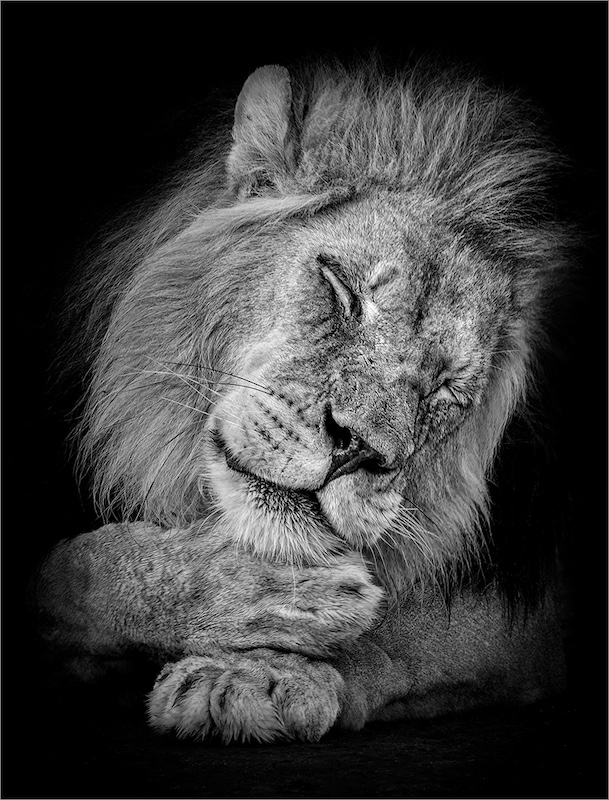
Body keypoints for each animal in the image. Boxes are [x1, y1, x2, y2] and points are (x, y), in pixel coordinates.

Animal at [34, 59, 571, 743]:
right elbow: (78, 572)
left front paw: (254, 673)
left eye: (446, 389)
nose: (359, 450)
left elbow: (406, 626)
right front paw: (264, 590)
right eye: (341, 288)